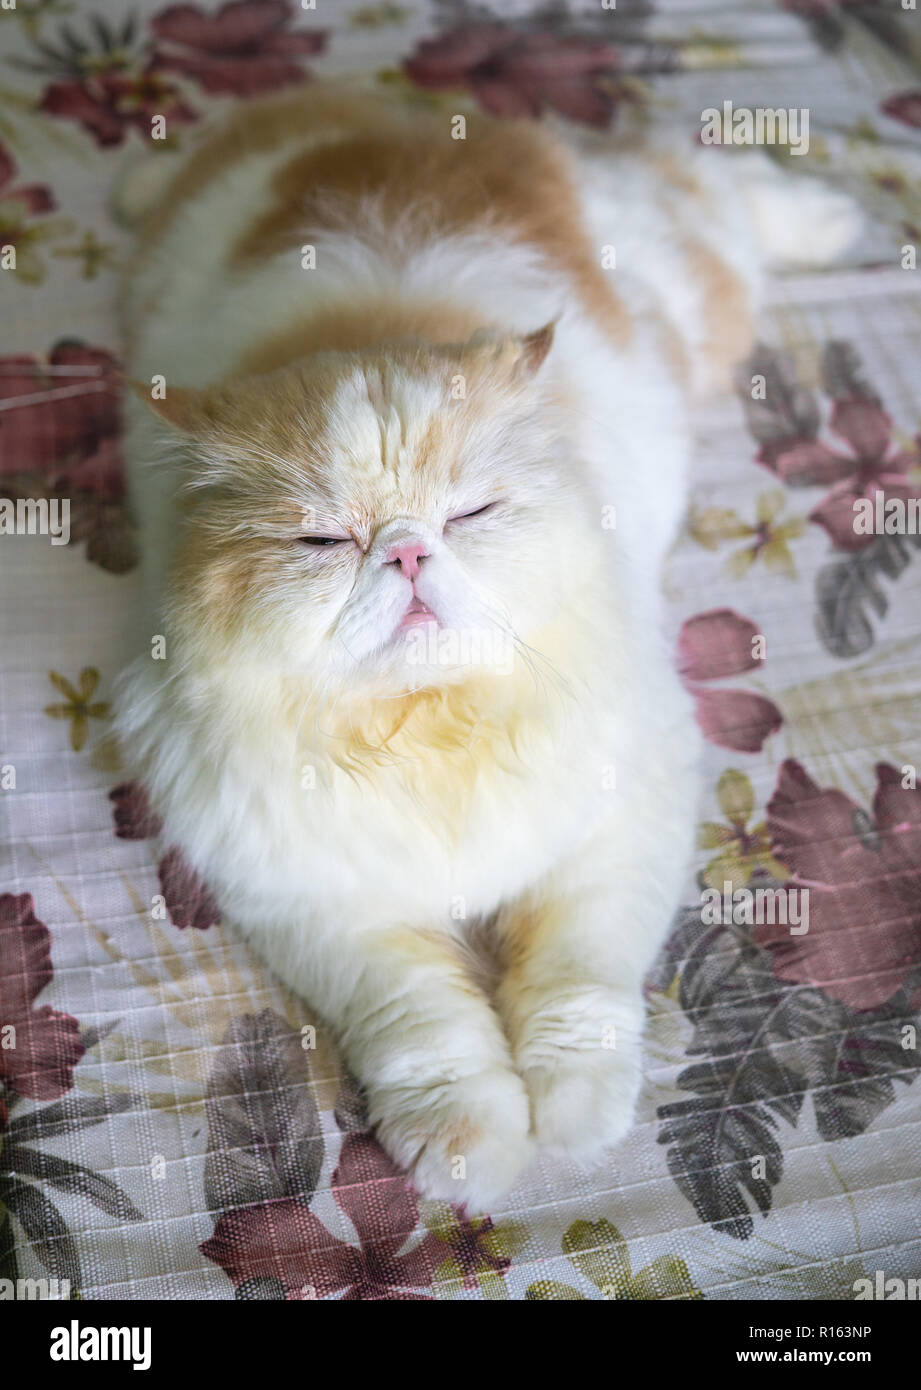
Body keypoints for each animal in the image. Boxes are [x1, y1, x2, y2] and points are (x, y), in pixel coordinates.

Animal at [113, 89, 855, 1217]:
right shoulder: (324, 906)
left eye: (471, 515)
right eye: (321, 541)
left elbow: (577, 989)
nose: (409, 548)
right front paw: (467, 1150)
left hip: (691, 260)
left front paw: (577, 1117)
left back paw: (840, 217)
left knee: (716, 176)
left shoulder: (618, 826)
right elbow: (432, 1033)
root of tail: (396, 118)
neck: (430, 730)